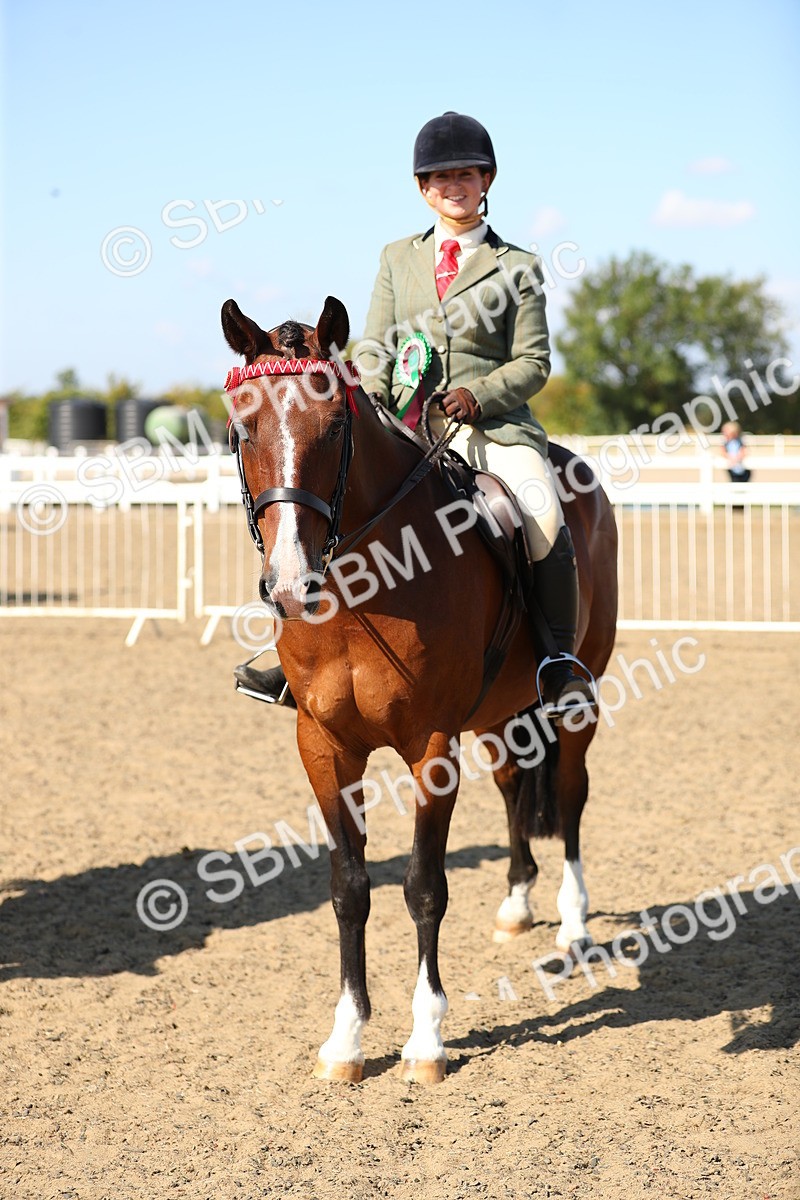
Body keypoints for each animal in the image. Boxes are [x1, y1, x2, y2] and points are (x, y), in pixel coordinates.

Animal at [221, 294, 618, 1084]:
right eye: (243, 428)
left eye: (334, 427)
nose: (291, 585)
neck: (360, 592)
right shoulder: (323, 747)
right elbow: (349, 888)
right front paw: (345, 1039)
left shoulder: (431, 749)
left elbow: (424, 886)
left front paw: (427, 1040)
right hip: (499, 715)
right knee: (513, 788)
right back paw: (517, 903)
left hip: (576, 701)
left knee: (569, 793)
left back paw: (573, 922)